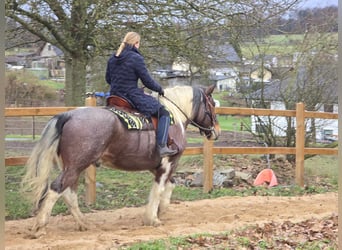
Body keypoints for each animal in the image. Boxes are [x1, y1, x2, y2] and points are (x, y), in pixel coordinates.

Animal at [21, 83, 220, 236]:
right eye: (211, 104)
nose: (216, 131)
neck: (173, 116)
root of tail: (68, 115)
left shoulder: (155, 166)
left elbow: (169, 185)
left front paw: (160, 211)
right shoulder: (168, 163)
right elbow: (160, 188)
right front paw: (153, 218)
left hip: (72, 167)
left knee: (68, 192)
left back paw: (83, 223)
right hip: (75, 166)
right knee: (56, 189)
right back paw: (40, 227)